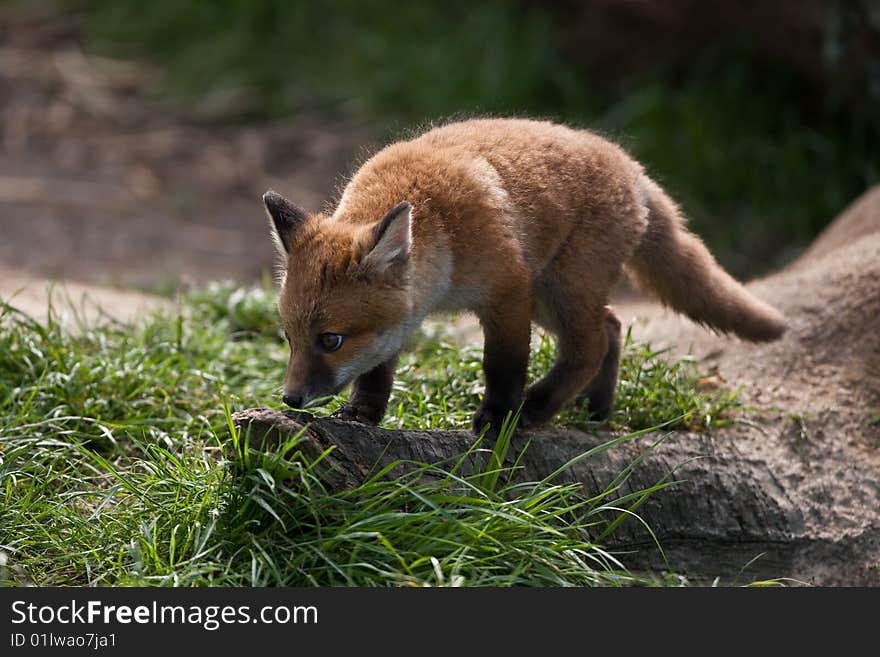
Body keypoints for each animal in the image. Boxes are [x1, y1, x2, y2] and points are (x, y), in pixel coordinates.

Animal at [262, 118, 784, 434]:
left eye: (330, 341)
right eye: (288, 338)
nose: (291, 399)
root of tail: (632, 168)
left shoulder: (508, 292)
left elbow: (503, 364)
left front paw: (497, 418)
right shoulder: (403, 317)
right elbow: (377, 367)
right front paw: (363, 412)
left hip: (559, 289)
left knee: (591, 346)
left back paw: (538, 408)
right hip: (555, 299)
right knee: (612, 327)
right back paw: (597, 410)